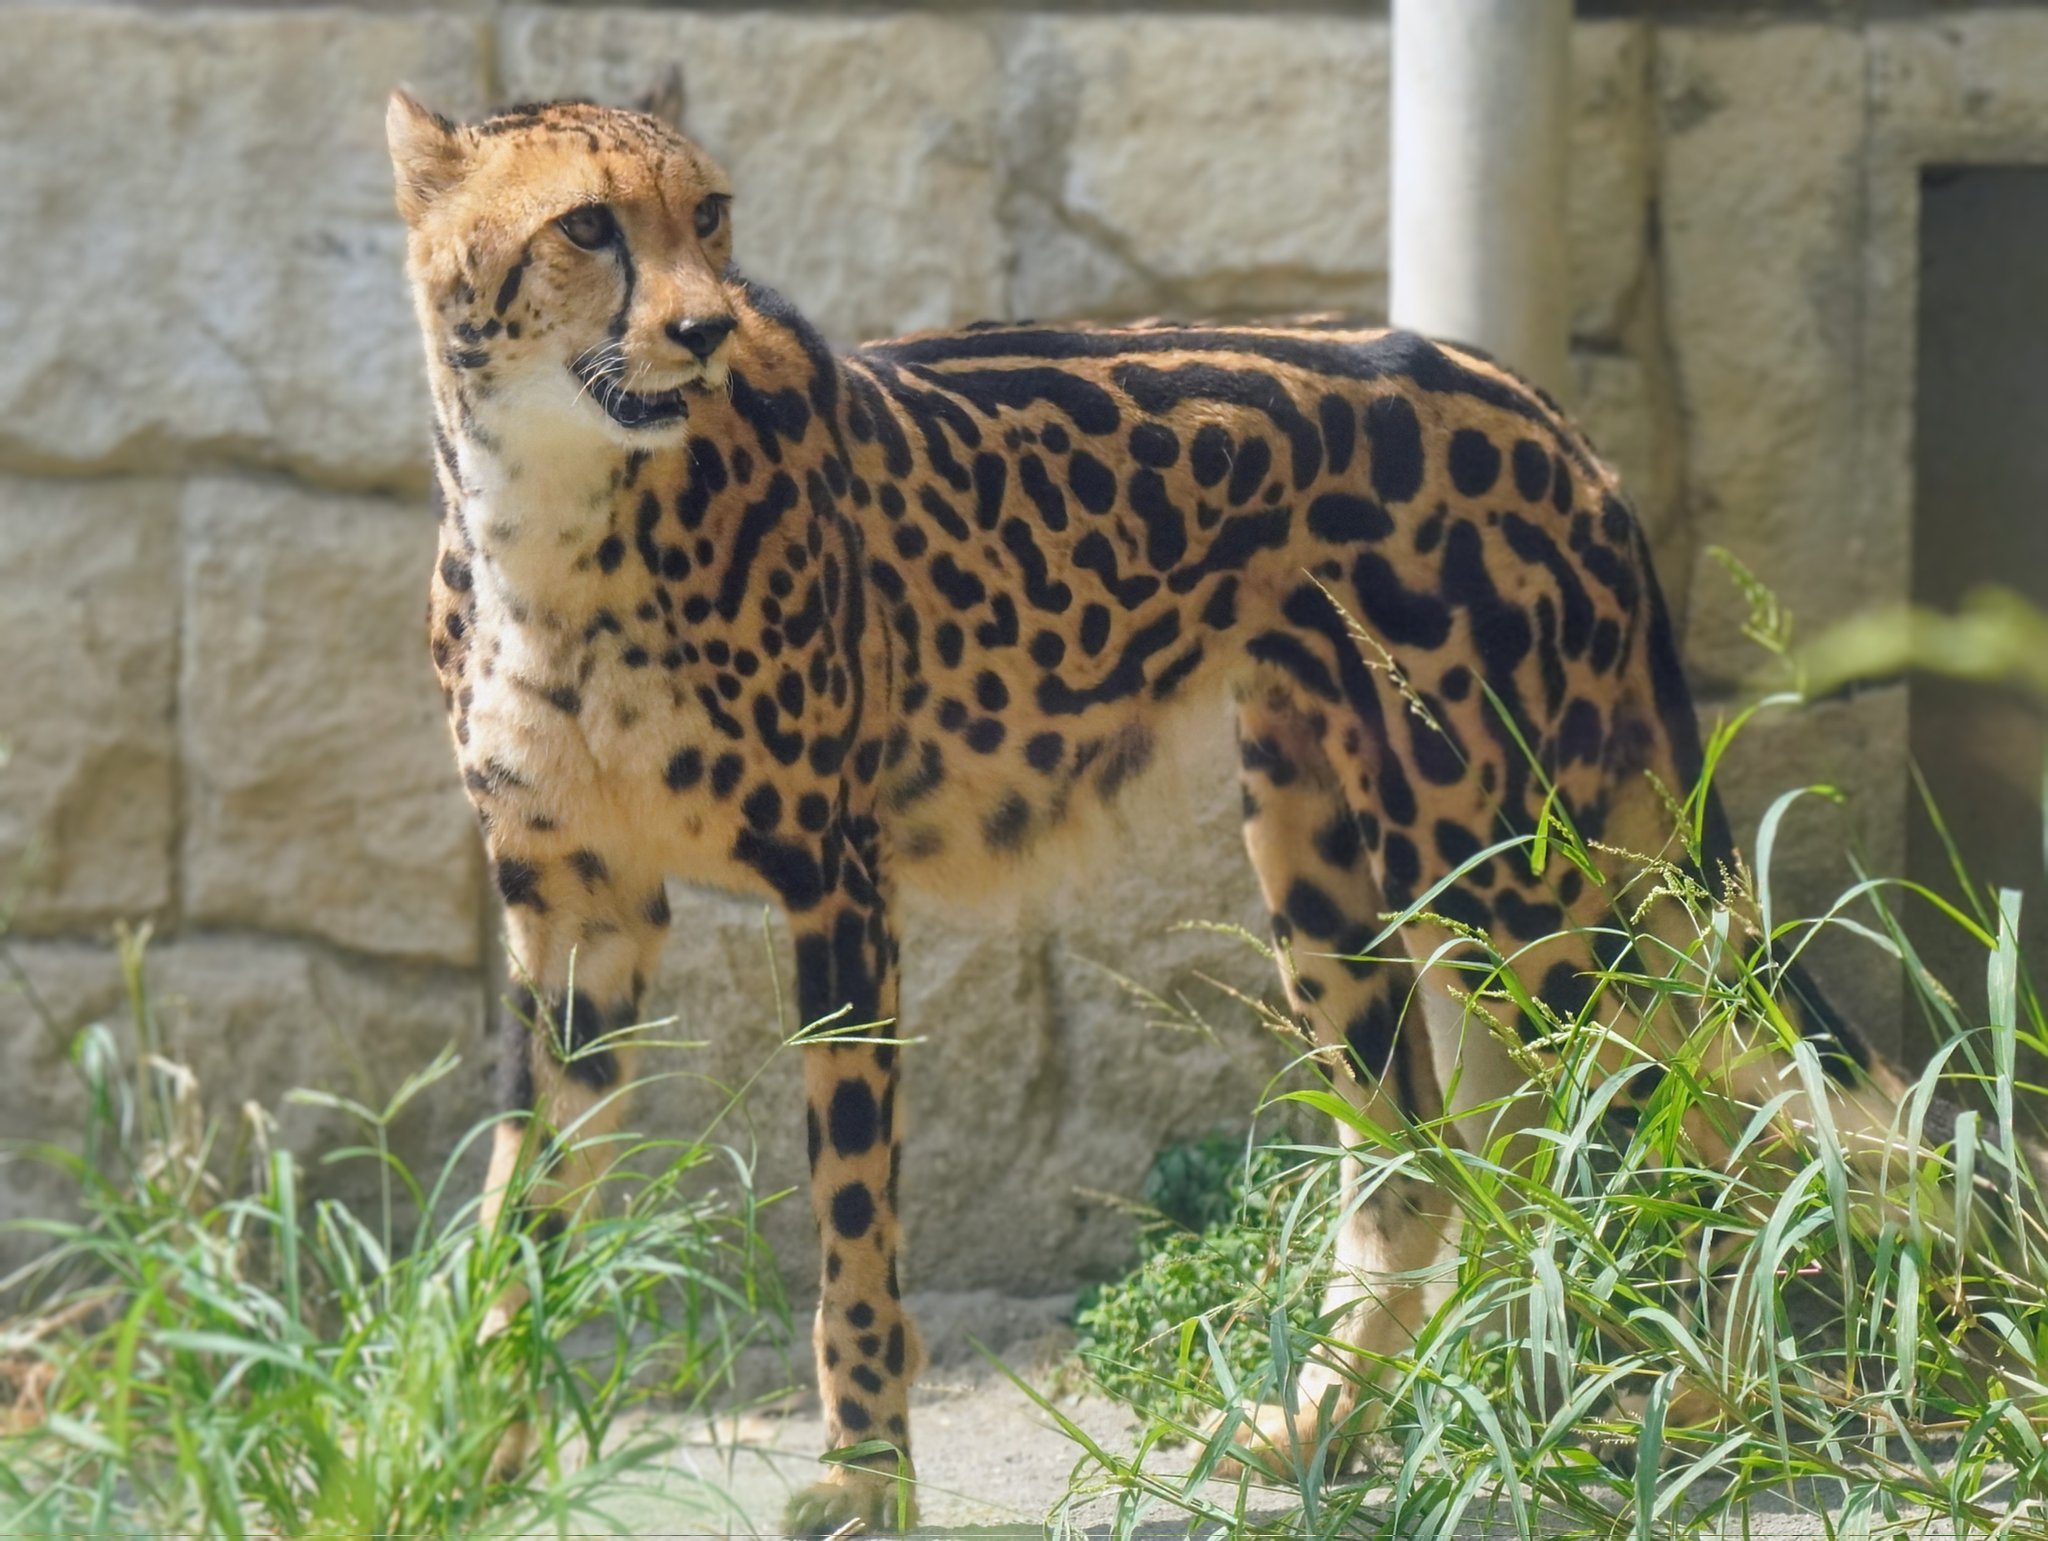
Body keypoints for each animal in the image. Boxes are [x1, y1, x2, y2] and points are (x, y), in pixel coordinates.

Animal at [386, 88, 1982, 1535]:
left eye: (708, 215)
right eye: (587, 226)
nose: (706, 328)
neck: (553, 508)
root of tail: (1529, 397)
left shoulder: (836, 880)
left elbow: (849, 1219)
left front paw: (861, 1477)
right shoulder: (579, 911)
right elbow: (522, 1209)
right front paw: (478, 1450)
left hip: (1503, 866)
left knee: (1653, 1103)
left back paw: (1693, 1414)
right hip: (1326, 850)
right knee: (1419, 1159)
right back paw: (1330, 1426)